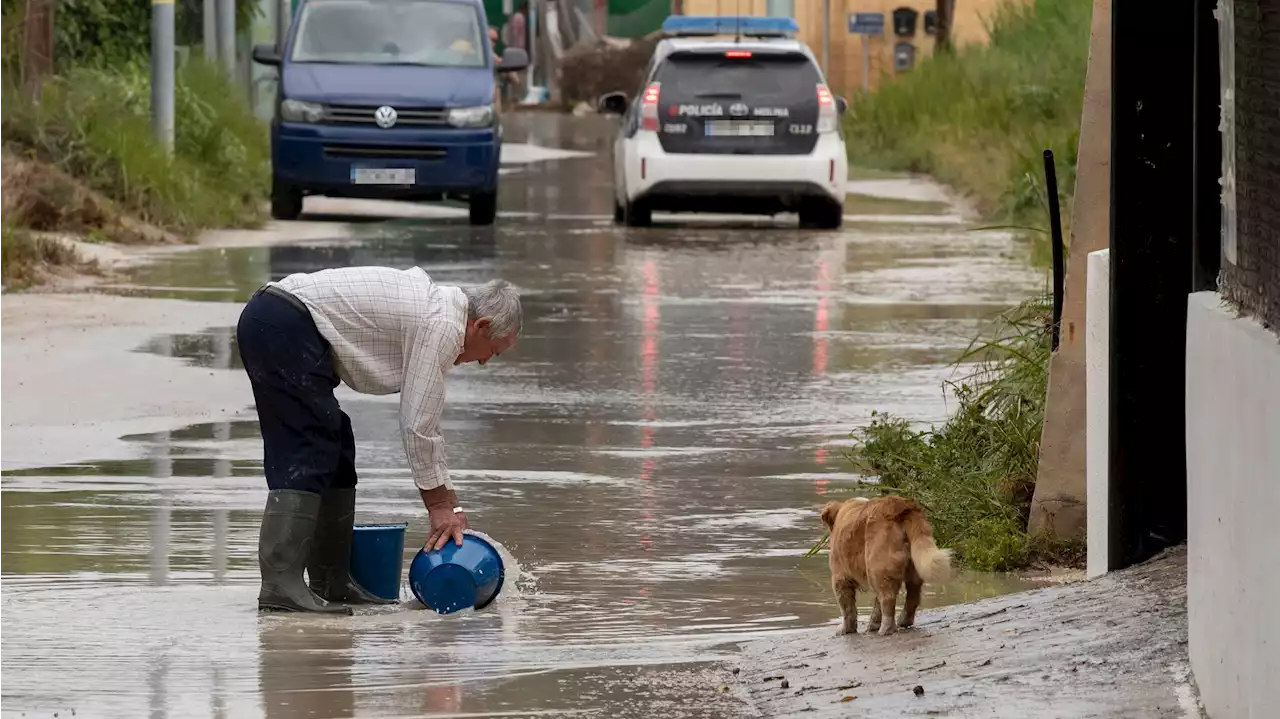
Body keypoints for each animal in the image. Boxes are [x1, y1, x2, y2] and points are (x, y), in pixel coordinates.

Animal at [819, 491, 952, 632]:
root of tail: (900, 505)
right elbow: (876, 605)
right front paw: (873, 624)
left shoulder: (840, 576)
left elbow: (847, 608)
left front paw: (846, 629)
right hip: (910, 567)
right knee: (912, 595)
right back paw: (904, 621)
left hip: (878, 566)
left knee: (888, 599)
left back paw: (886, 629)